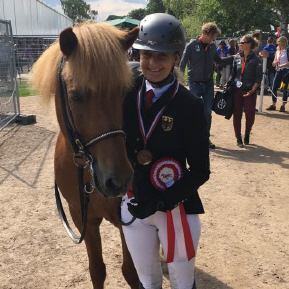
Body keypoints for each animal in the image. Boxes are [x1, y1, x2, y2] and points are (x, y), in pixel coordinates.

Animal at [30, 22, 140, 288]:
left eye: (123, 92)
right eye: (75, 95)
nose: (118, 179)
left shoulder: (125, 221)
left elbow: (131, 271)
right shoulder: (84, 219)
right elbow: (97, 270)